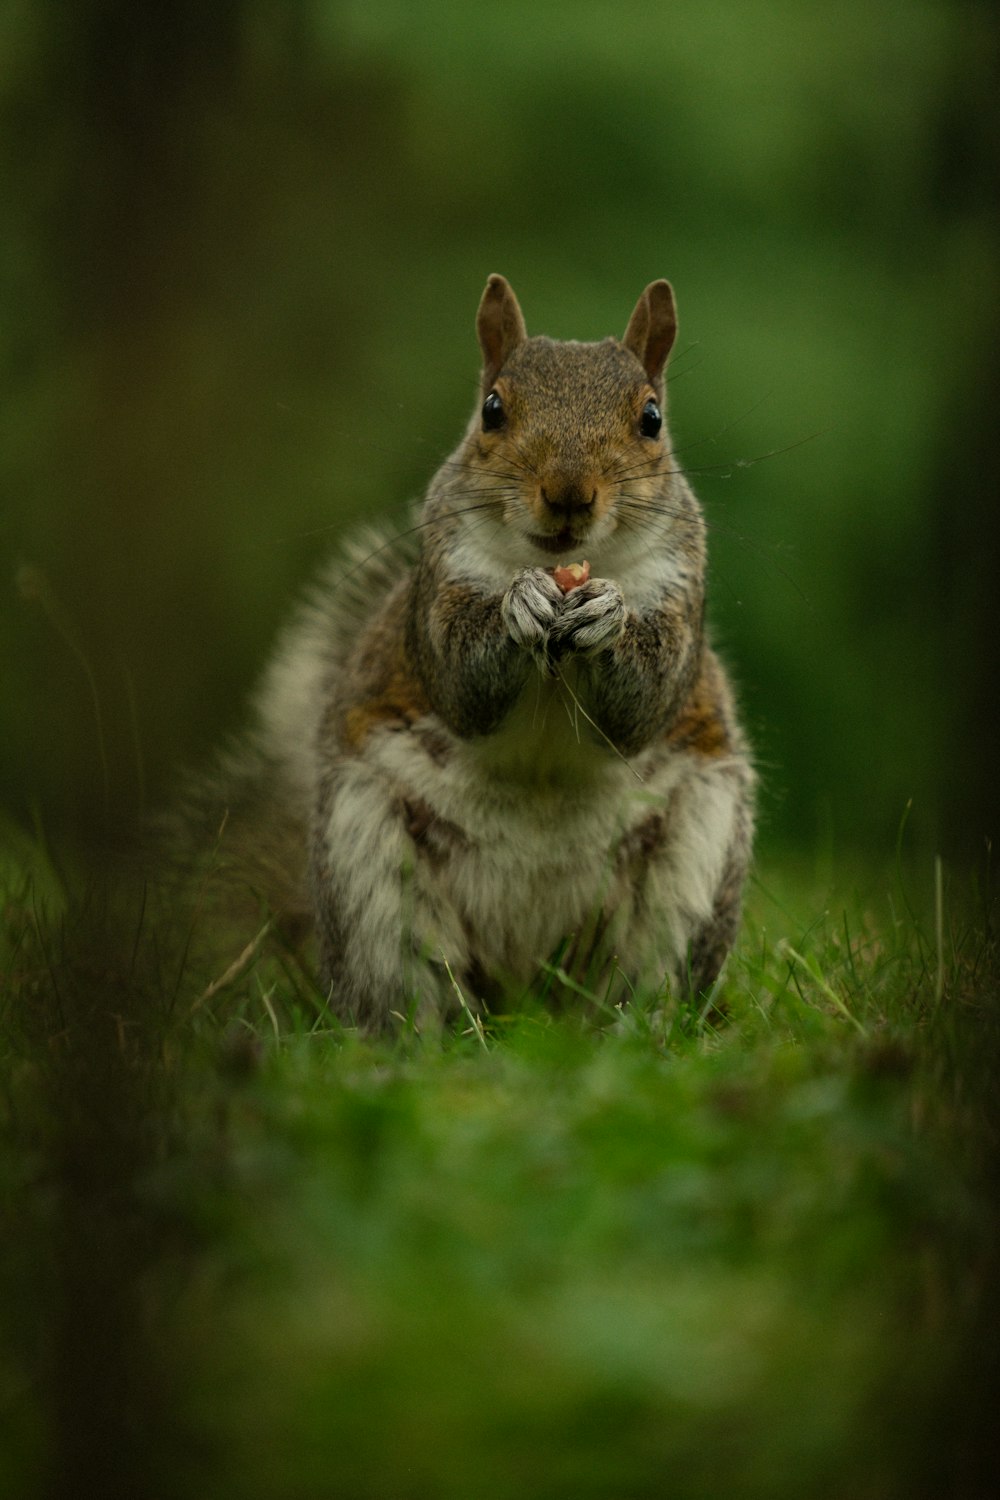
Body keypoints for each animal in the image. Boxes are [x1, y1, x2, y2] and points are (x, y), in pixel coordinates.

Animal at [189, 279, 749, 1032]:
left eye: (651, 419)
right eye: (492, 410)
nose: (568, 495)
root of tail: (527, 987)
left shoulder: (680, 595)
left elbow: (647, 701)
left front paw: (608, 614)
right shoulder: (437, 590)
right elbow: (460, 679)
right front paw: (518, 606)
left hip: (692, 863)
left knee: (639, 983)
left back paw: (631, 1031)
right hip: (371, 867)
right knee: (411, 991)